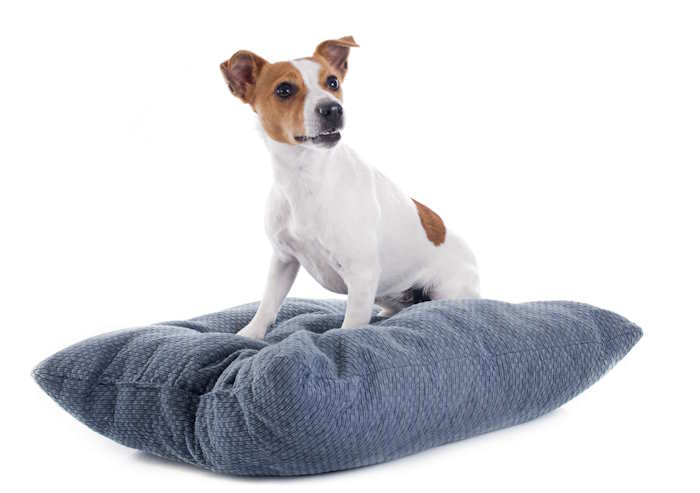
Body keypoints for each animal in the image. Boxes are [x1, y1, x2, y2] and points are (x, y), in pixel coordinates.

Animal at [221, 35, 478, 338]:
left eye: (332, 82)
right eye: (284, 90)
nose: (333, 108)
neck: (307, 176)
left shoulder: (361, 273)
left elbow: (351, 323)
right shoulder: (283, 260)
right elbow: (268, 303)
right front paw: (251, 334)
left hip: (445, 290)